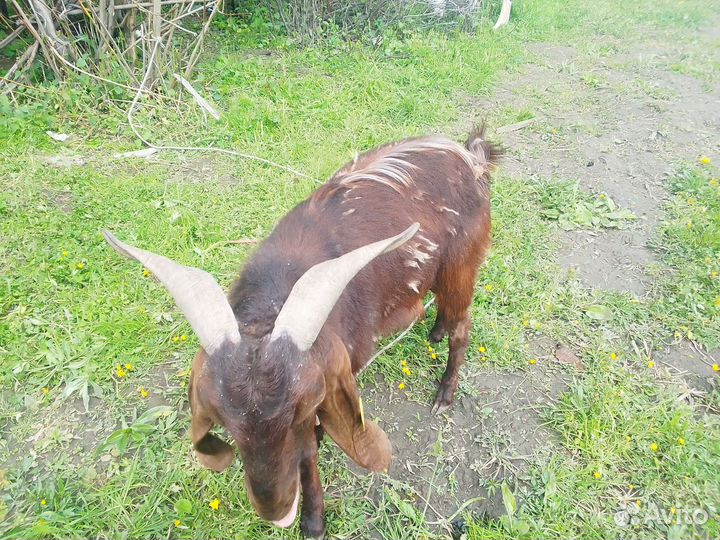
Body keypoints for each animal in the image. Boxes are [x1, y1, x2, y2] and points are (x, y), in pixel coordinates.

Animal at [104, 127, 499, 538]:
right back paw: (435, 332)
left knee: (463, 327)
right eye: (225, 423)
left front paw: (313, 521)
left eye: (298, 413)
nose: (274, 507)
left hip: (460, 267)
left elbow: (309, 449)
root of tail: (472, 158)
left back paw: (445, 393)